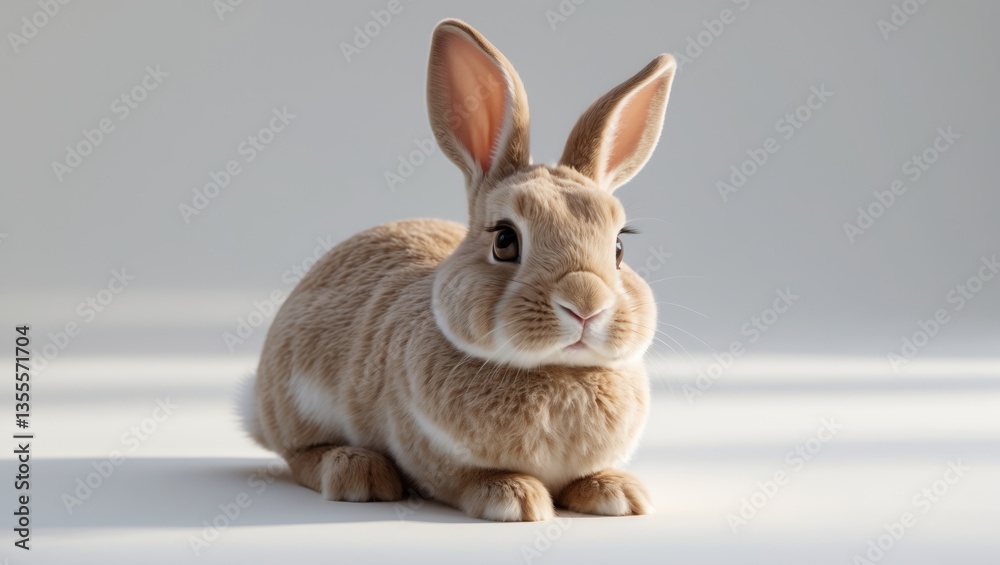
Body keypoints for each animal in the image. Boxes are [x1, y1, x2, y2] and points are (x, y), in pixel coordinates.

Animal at [240, 18, 676, 522]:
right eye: (505, 241)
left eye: (620, 246)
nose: (586, 305)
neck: (559, 372)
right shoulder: (431, 454)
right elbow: (464, 480)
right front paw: (514, 498)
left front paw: (618, 494)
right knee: (298, 455)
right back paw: (356, 472)